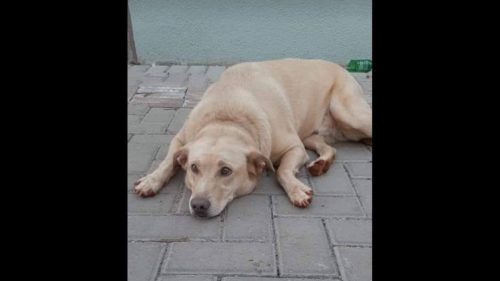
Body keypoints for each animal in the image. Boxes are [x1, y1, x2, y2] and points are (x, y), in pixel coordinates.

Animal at [133, 58, 372, 217]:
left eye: (226, 171)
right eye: (194, 168)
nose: (198, 205)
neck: (227, 116)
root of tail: (339, 66)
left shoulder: (295, 147)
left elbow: (282, 171)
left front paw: (296, 189)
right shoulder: (181, 139)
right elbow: (168, 161)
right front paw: (152, 180)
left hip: (350, 114)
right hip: (310, 136)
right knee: (330, 148)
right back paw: (321, 163)